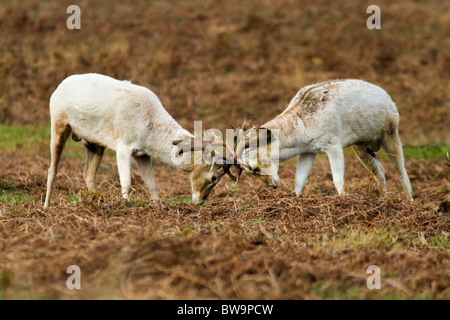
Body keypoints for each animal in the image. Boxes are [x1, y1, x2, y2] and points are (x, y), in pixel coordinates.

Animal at [44, 73, 237, 208]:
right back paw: (46, 206)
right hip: (58, 123)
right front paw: (125, 205)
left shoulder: (142, 153)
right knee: (52, 168)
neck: (149, 128)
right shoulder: (123, 145)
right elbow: (127, 182)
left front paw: (159, 207)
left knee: (88, 173)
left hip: (94, 143)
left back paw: (95, 202)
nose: (200, 201)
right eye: (214, 177)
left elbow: (152, 183)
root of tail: (58, 88)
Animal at [236, 79, 414, 200]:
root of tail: (387, 97)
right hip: (361, 147)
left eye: (254, 167)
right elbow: (299, 180)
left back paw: (409, 203)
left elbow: (337, 179)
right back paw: (383, 200)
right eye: (249, 171)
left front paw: (343, 199)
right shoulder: (307, 151)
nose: (273, 185)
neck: (302, 124)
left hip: (390, 134)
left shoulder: (333, 145)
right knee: (380, 172)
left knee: (401, 171)